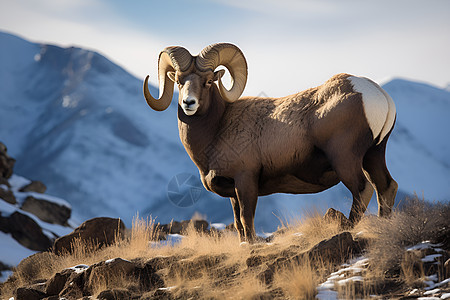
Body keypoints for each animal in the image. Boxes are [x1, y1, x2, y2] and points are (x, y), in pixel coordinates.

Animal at [143, 43, 398, 243]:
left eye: (207, 82)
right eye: (179, 81)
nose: (189, 103)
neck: (217, 129)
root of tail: (375, 94)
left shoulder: (246, 181)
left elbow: (247, 219)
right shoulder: (233, 193)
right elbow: (238, 224)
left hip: (345, 158)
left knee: (363, 189)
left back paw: (348, 228)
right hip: (374, 154)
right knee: (386, 186)